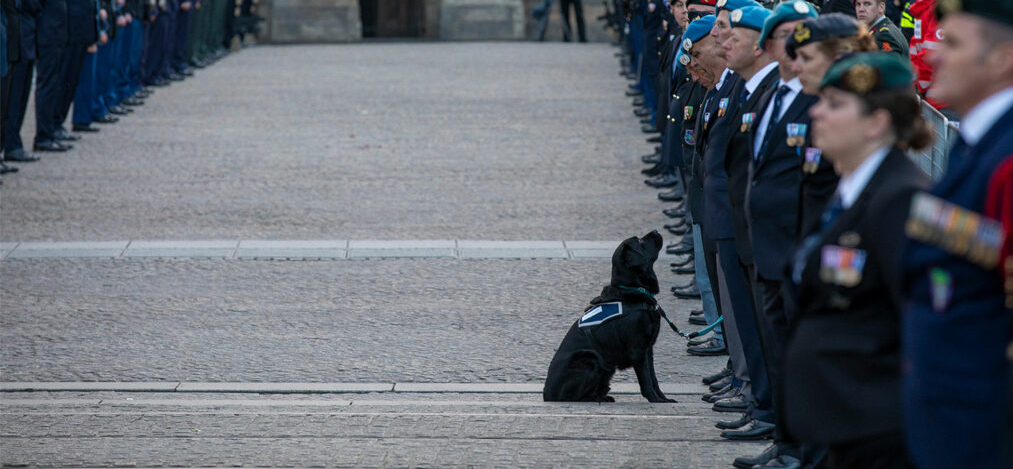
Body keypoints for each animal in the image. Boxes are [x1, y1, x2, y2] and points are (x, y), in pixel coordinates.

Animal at [542, 230, 676, 403]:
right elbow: (646, 380)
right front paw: (654, 399)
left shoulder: (648, 350)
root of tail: (546, 394)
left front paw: (664, 399)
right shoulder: (638, 351)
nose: (656, 231)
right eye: (639, 241)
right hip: (589, 358)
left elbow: (654, 379)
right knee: (571, 397)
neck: (632, 289)